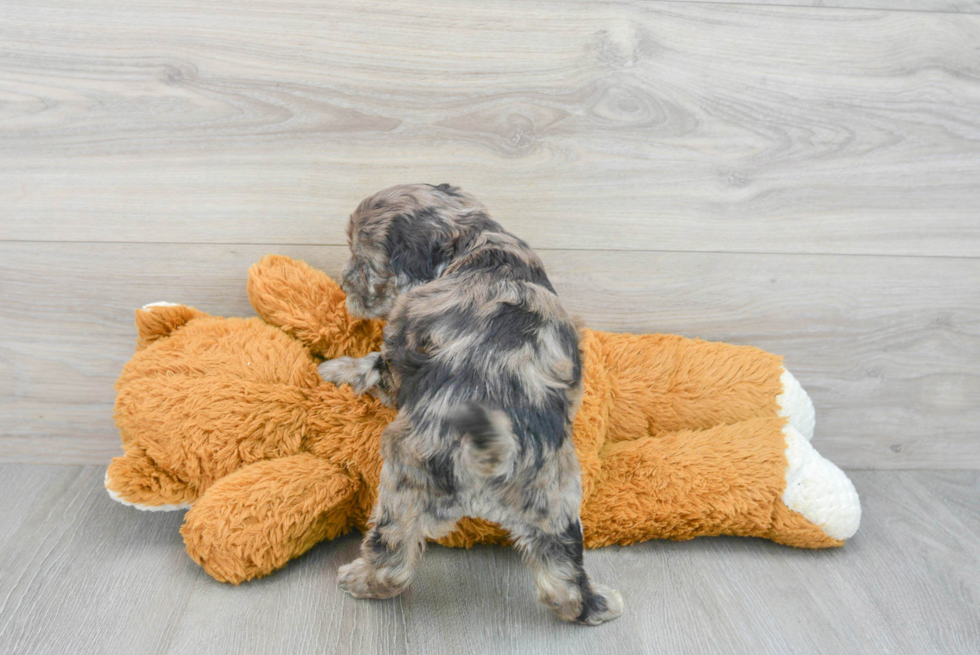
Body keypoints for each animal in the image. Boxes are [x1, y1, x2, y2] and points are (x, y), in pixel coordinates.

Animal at [322, 184, 628, 624]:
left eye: (364, 260)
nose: (344, 285)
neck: (476, 239)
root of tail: (491, 454)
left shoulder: (401, 343)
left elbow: (377, 365)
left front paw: (336, 369)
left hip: (405, 481)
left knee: (392, 555)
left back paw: (360, 579)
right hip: (556, 502)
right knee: (564, 579)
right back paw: (600, 604)